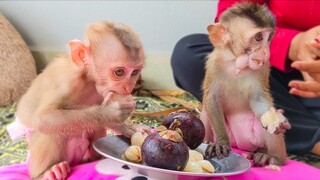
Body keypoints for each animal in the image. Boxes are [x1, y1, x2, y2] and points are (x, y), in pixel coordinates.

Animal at [10, 20, 145, 179]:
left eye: (135, 72)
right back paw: (47, 172)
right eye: (119, 72)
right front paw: (111, 112)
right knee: (50, 130)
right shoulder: (68, 81)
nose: (127, 87)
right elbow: (43, 118)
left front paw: (129, 128)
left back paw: (95, 158)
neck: (89, 80)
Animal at [201, 2, 292, 167]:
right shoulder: (213, 65)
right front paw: (221, 143)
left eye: (269, 38)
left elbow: (260, 102)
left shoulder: (262, 69)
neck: (237, 65)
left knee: (265, 125)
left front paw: (279, 122)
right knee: (205, 109)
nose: (266, 52)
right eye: (258, 37)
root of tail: (243, 145)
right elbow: (212, 99)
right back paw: (207, 140)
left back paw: (272, 157)